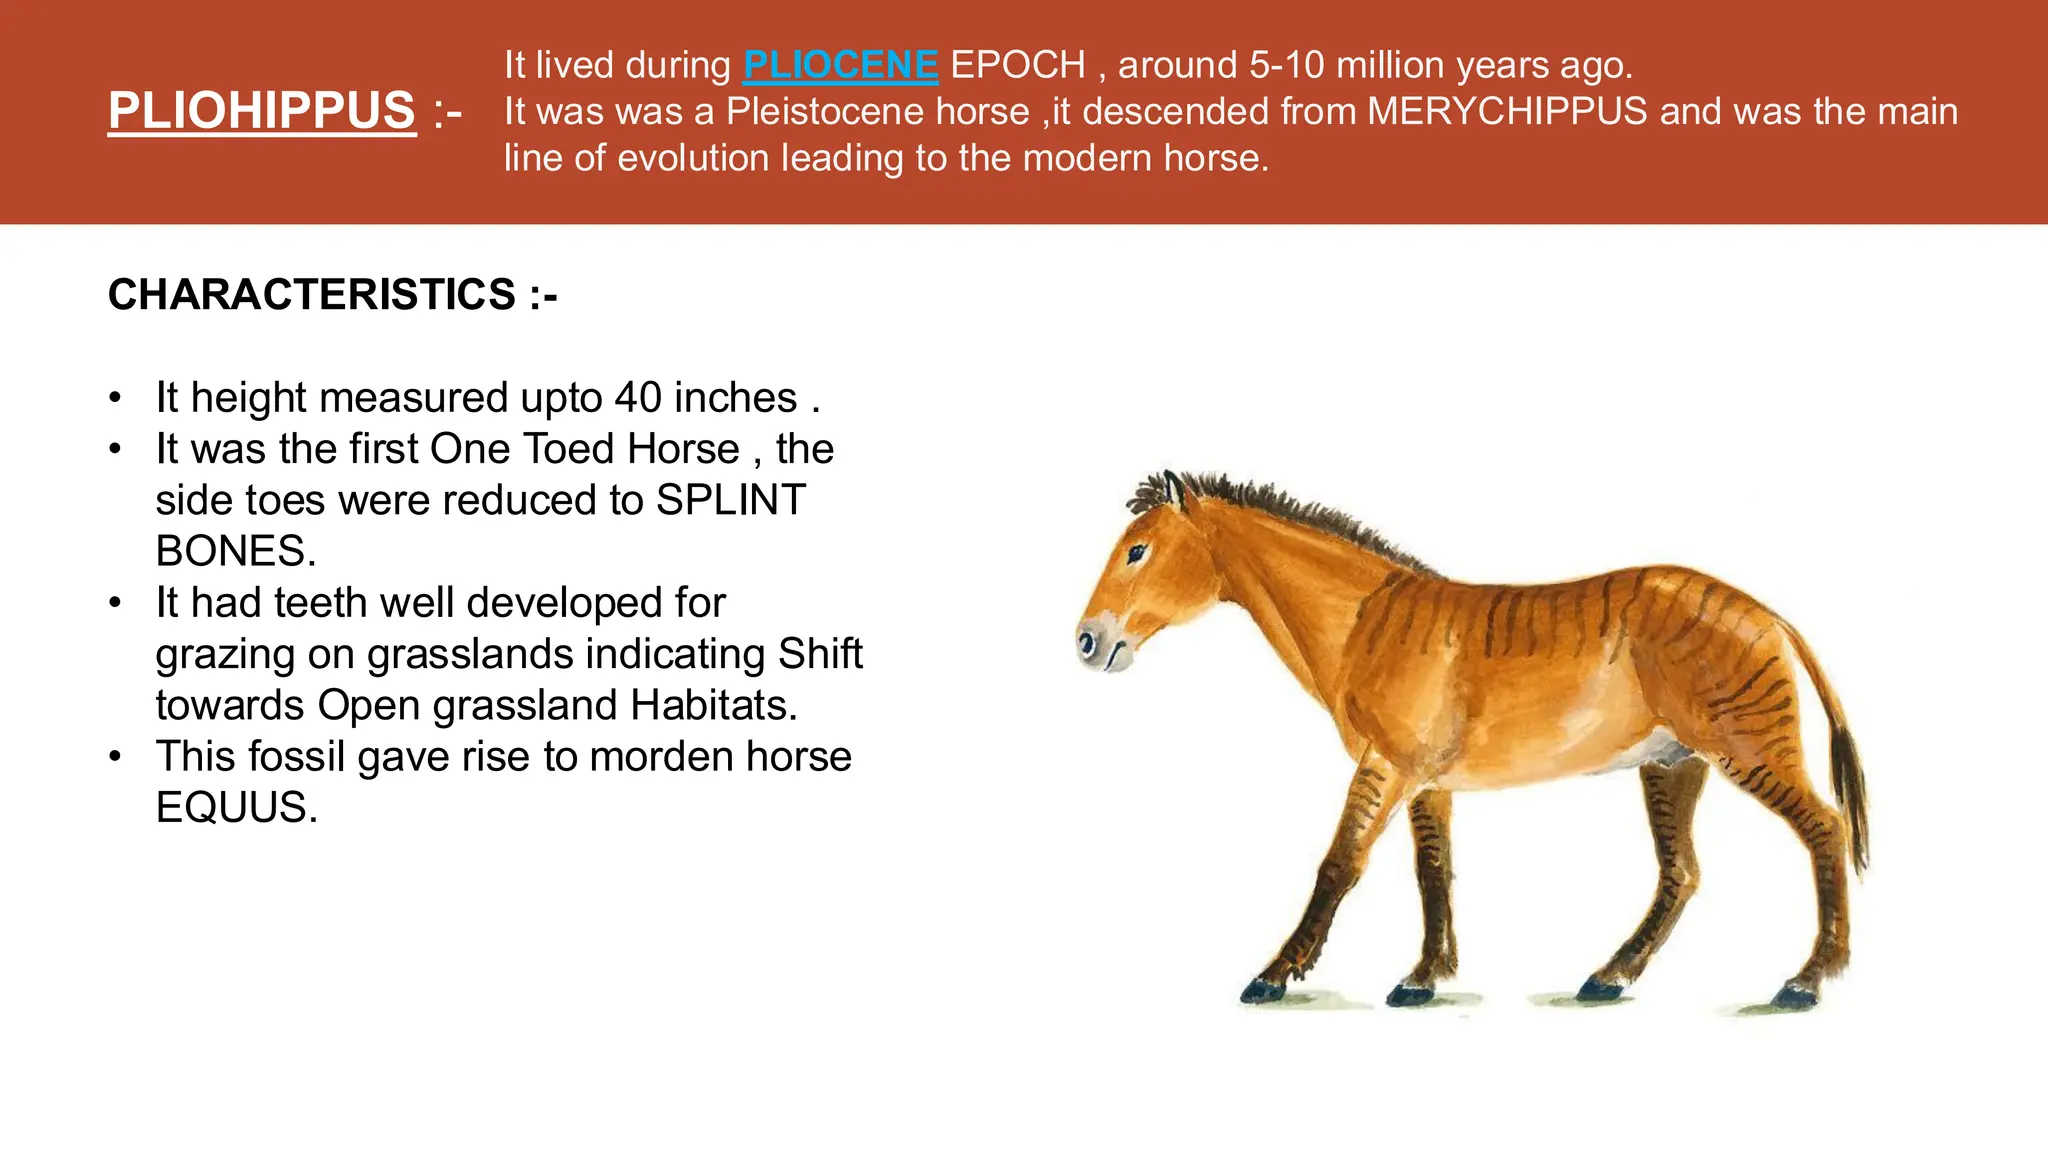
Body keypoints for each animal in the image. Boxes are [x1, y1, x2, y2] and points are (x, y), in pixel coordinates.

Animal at [1074, 471, 1866, 1010]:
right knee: (1682, 874)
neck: (1362, 623)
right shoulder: (1427, 782)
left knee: (1824, 831)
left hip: (1746, 750)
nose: (1086, 642)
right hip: (1675, 763)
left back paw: (1806, 982)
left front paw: (1274, 975)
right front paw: (1424, 979)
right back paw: (1608, 978)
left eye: (1138, 550)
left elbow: (1339, 865)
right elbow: (1433, 873)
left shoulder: (1387, 768)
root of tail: (1766, 612)